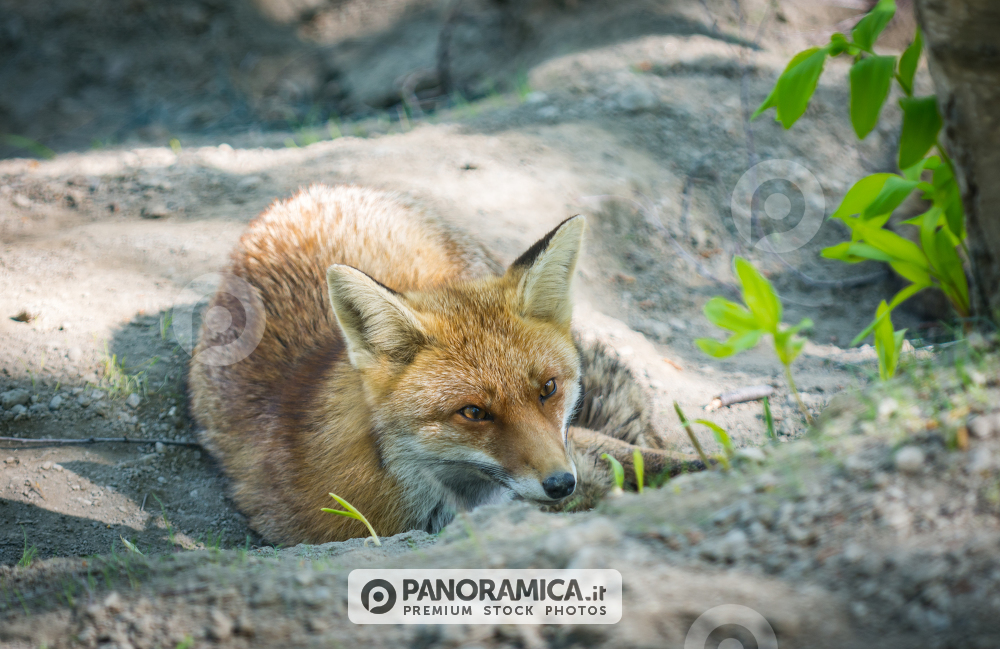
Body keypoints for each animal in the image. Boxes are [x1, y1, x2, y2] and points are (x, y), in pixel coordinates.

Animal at [189, 184, 702, 545]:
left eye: (548, 389)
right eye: (473, 412)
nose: (561, 484)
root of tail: (310, 192)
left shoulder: (572, 446)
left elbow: (652, 459)